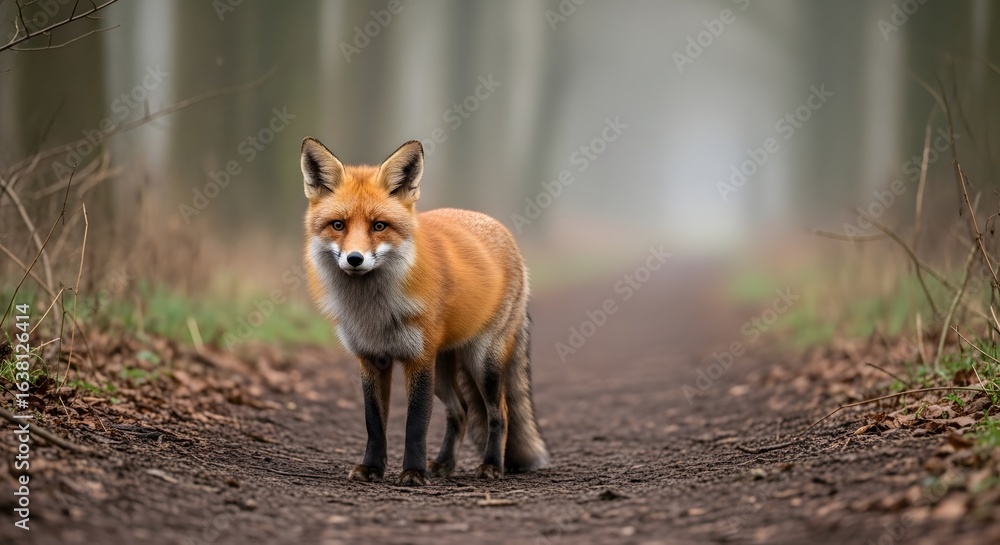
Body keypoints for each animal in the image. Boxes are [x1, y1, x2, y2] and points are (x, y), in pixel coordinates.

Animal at [299, 137, 549, 486]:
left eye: (379, 226)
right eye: (338, 225)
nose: (354, 259)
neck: (373, 311)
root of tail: (502, 230)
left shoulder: (418, 360)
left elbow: (415, 425)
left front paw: (413, 472)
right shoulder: (371, 359)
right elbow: (374, 424)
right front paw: (372, 468)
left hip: (481, 362)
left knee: (499, 412)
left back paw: (491, 465)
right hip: (443, 370)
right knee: (461, 411)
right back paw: (445, 463)